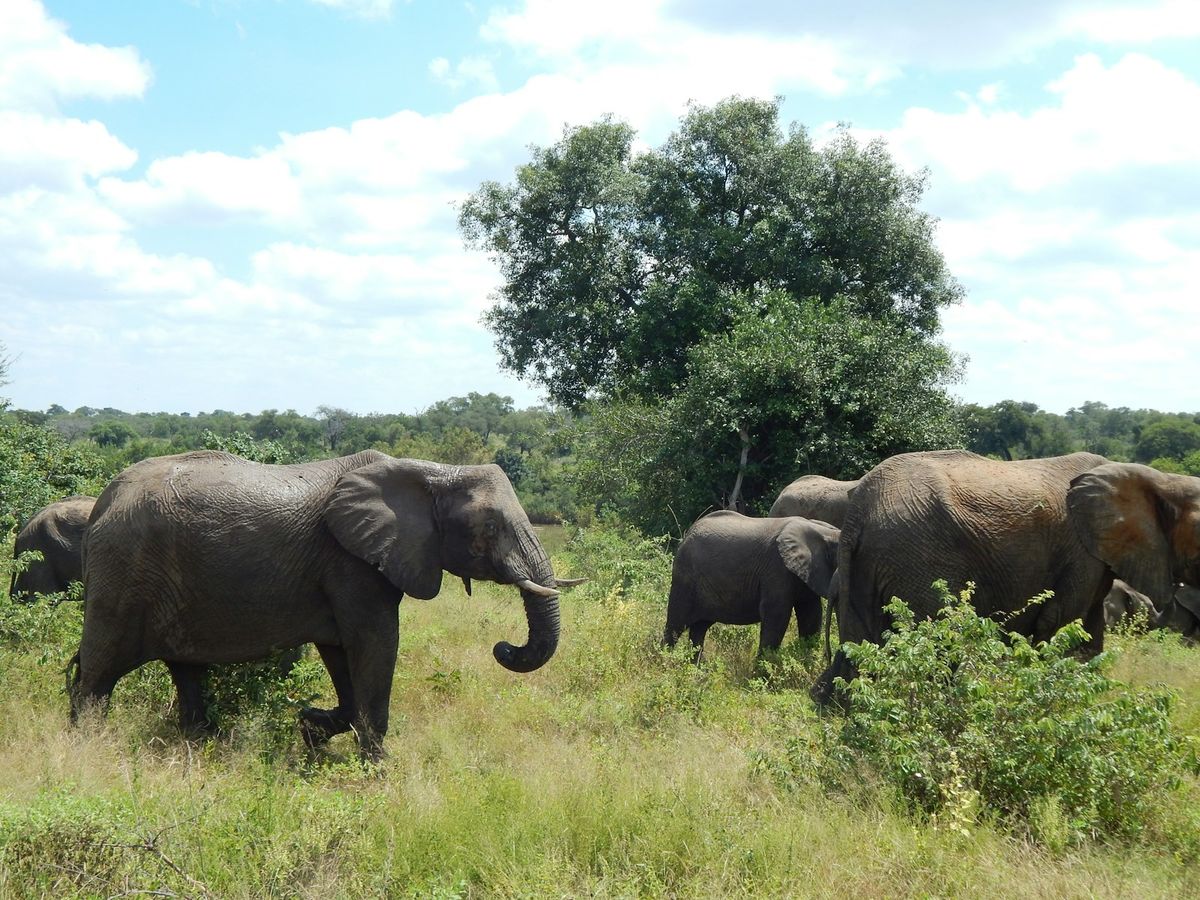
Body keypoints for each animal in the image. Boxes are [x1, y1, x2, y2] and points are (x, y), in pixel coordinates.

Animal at [71, 450, 570, 759]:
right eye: (490, 528)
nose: (503, 647)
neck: (433, 472)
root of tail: (103, 502)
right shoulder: (351, 562)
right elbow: (375, 643)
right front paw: (379, 771)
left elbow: (341, 653)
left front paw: (311, 729)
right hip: (124, 572)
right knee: (98, 670)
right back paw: (86, 747)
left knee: (184, 671)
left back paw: (202, 745)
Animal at [663, 510, 840, 657]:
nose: (828, 656)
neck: (824, 531)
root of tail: (687, 534)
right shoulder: (776, 569)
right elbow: (777, 614)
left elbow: (811, 614)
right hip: (684, 578)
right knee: (675, 625)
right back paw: (666, 661)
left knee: (699, 627)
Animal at [813, 451, 1200, 705]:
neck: (1158, 479)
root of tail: (860, 509)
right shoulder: (1082, 554)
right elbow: (1063, 628)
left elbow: (1088, 636)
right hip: (917, 558)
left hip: (869, 565)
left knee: (855, 652)